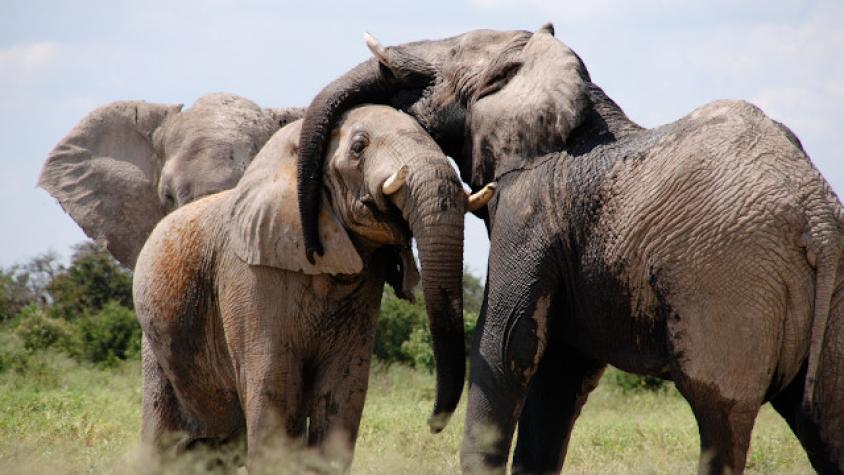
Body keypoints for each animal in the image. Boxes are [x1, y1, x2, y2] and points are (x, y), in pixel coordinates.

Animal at [133, 105, 495, 469]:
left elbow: (343, 393)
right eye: (359, 147)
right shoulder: (250, 275)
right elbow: (273, 390)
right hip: (155, 344)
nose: (432, 424)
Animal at [294, 24, 844, 474]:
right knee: (824, 424)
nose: (314, 246)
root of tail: (815, 216)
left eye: (448, 56)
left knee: (720, 419)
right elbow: (558, 374)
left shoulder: (531, 206)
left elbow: (505, 345)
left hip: (729, 284)